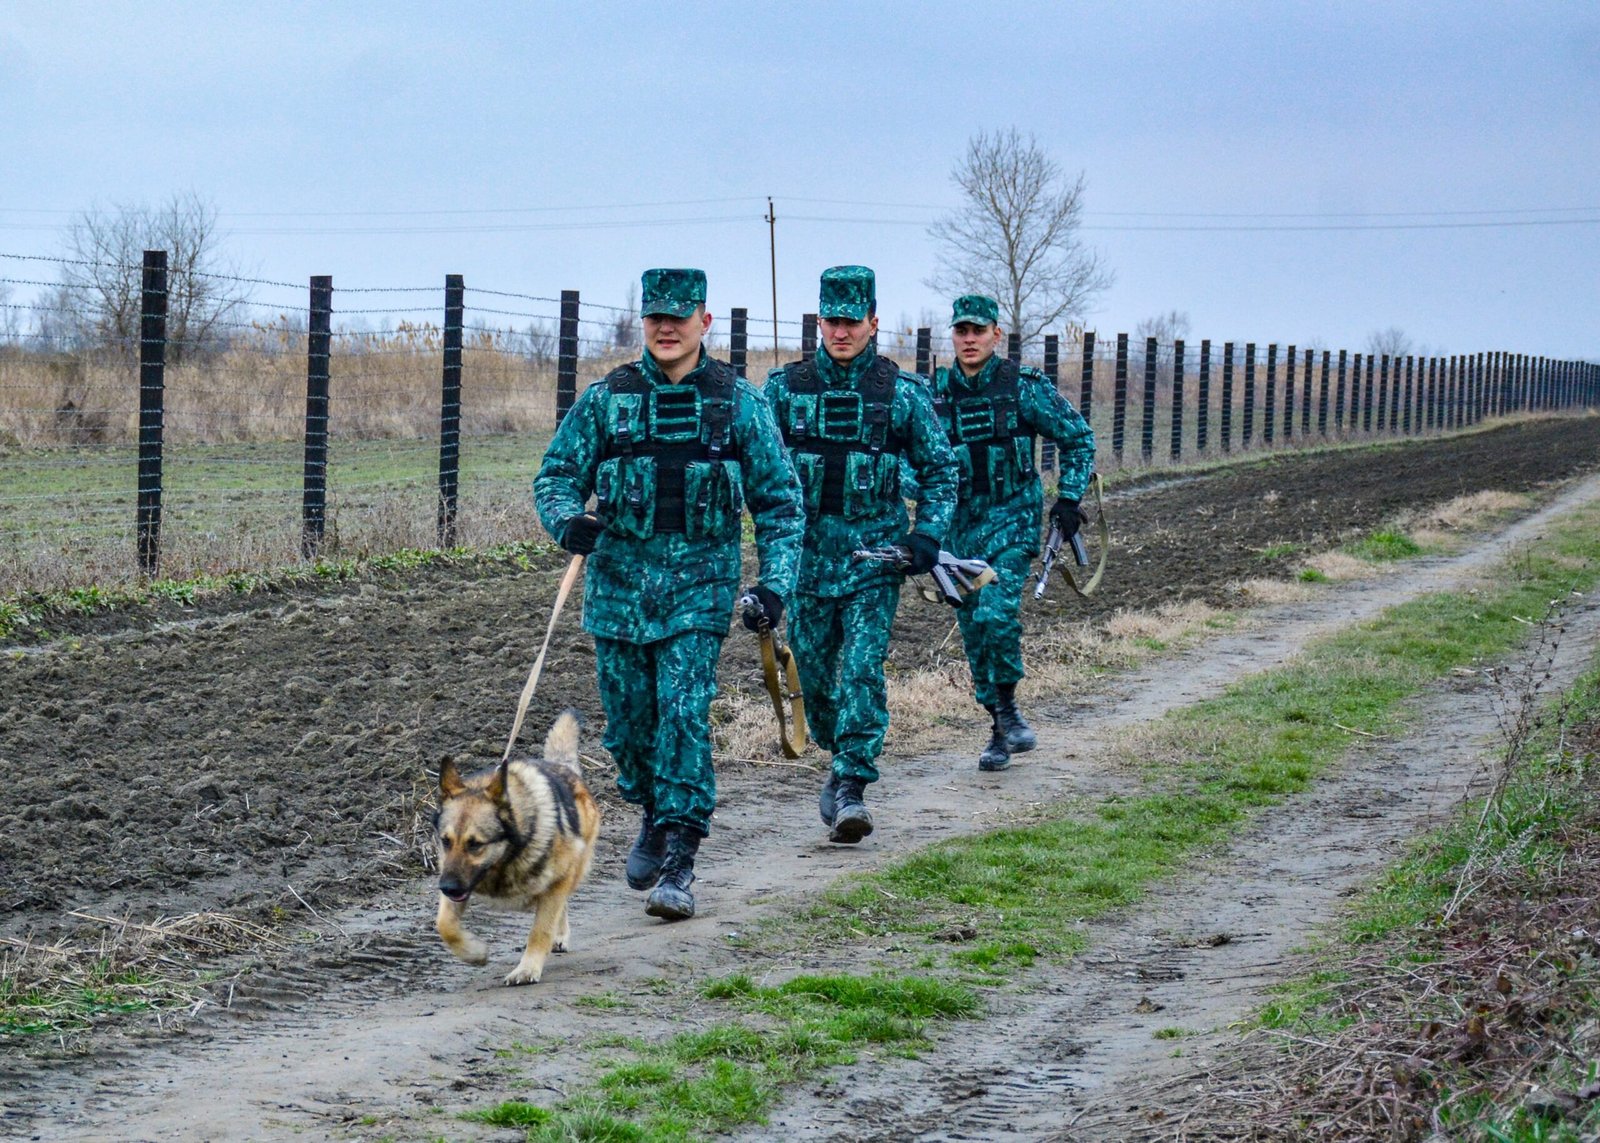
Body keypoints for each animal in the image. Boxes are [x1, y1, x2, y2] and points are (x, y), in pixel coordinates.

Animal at [432, 704, 601, 979]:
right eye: (446, 841)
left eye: (475, 844)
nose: (446, 887)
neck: (505, 858)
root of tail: (562, 766)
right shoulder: (456, 880)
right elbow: (444, 925)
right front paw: (474, 953)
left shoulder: (557, 881)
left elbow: (541, 930)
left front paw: (527, 968)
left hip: (572, 869)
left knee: (562, 902)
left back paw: (559, 935)